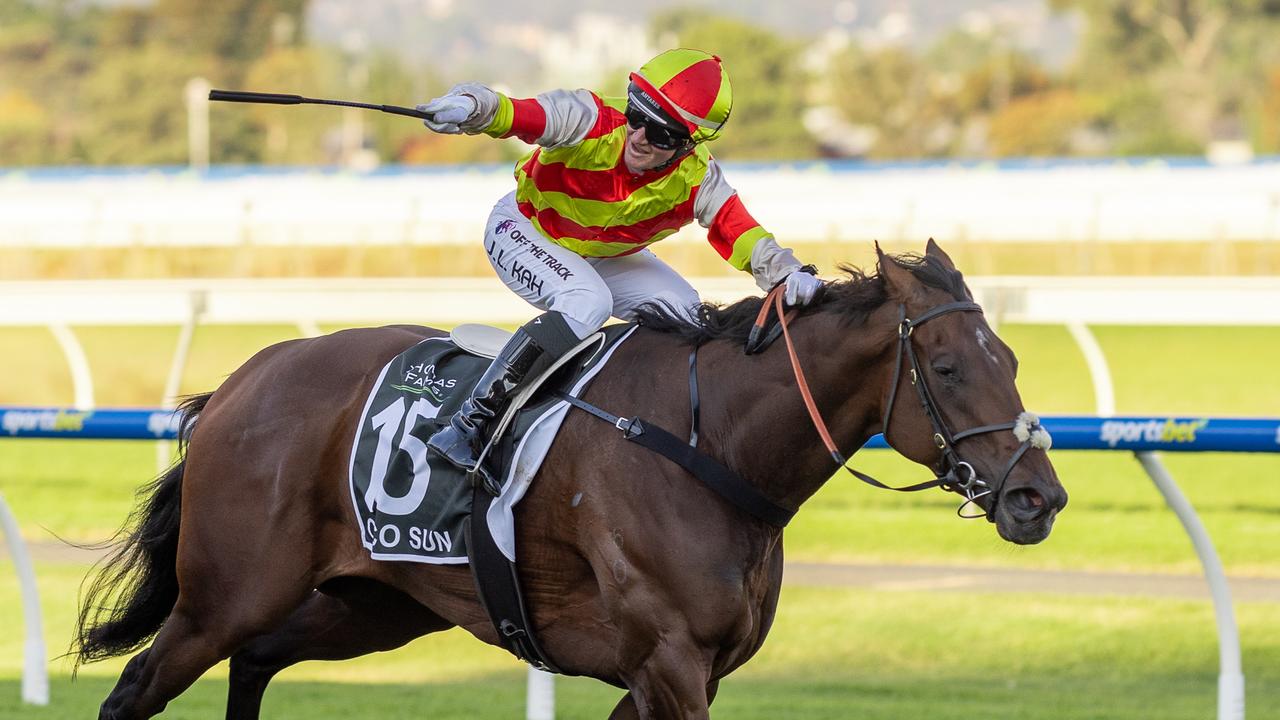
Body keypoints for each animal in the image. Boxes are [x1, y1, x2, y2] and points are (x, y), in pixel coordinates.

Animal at [74, 238, 1064, 712]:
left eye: (1012, 357)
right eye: (947, 369)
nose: (1038, 497)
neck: (712, 444)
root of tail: (237, 385)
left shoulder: (679, 673)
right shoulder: (668, 663)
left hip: (374, 604)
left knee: (256, 661)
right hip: (227, 593)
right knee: (139, 687)